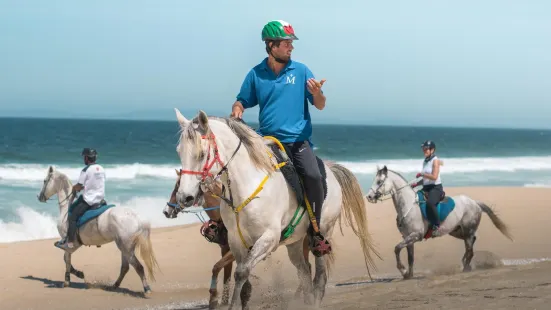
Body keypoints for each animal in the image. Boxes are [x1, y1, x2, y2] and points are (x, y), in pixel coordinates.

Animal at [175, 109, 382, 310]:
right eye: (179, 151)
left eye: (202, 154)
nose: (185, 197)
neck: (245, 187)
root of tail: (331, 170)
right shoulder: (236, 242)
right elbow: (244, 283)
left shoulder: (269, 238)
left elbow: (241, 273)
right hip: (294, 244)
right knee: (304, 273)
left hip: (323, 233)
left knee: (319, 278)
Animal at [366, 166, 512, 280]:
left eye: (379, 181)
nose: (369, 196)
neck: (409, 206)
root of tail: (475, 202)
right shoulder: (408, 237)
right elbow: (410, 257)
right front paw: (408, 274)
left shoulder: (415, 235)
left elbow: (396, 248)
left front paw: (402, 270)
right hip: (457, 231)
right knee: (470, 244)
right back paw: (465, 263)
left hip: (467, 231)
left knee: (470, 249)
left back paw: (465, 267)